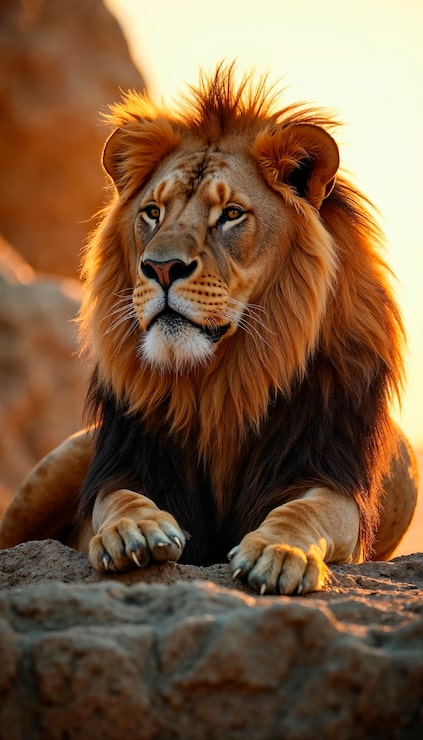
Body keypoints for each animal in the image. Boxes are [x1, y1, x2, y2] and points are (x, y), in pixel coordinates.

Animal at [0, 65, 418, 595]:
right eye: (153, 212)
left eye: (231, 214)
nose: (160, 268)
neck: (220, 383)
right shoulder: (125, 463)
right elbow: (116, 500)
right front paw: (133, 530)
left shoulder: (330, 475)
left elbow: (306, 512)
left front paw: (279, 553)